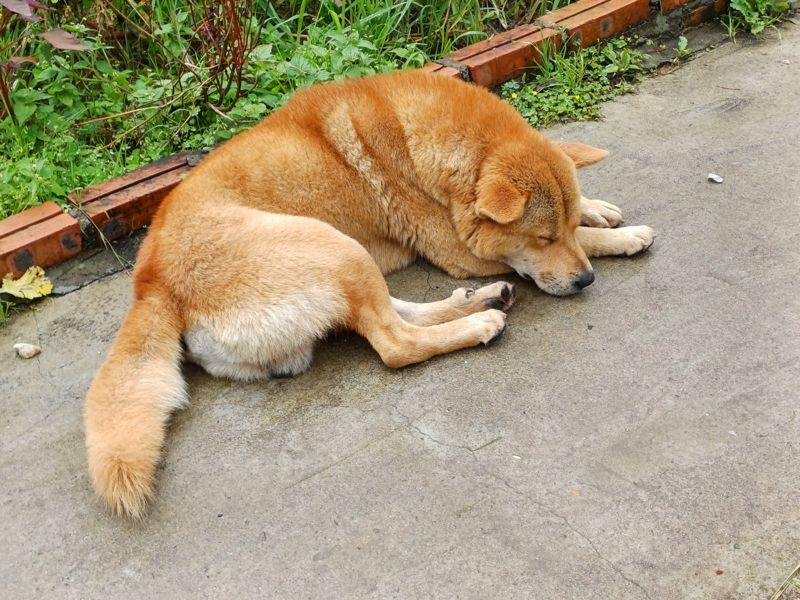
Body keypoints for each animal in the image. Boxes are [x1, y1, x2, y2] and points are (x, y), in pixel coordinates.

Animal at [84, 68, 652, 516]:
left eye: (560, 229)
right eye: (542, 238)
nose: (585, 281)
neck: (412, 135)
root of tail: (152, 284)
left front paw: (599, 211)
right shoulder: (459, 252)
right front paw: (620, 237)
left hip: (344, 259)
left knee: (396, 315)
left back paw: (480, 300)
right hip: (332, 246)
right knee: (395, 344)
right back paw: (479, 322)